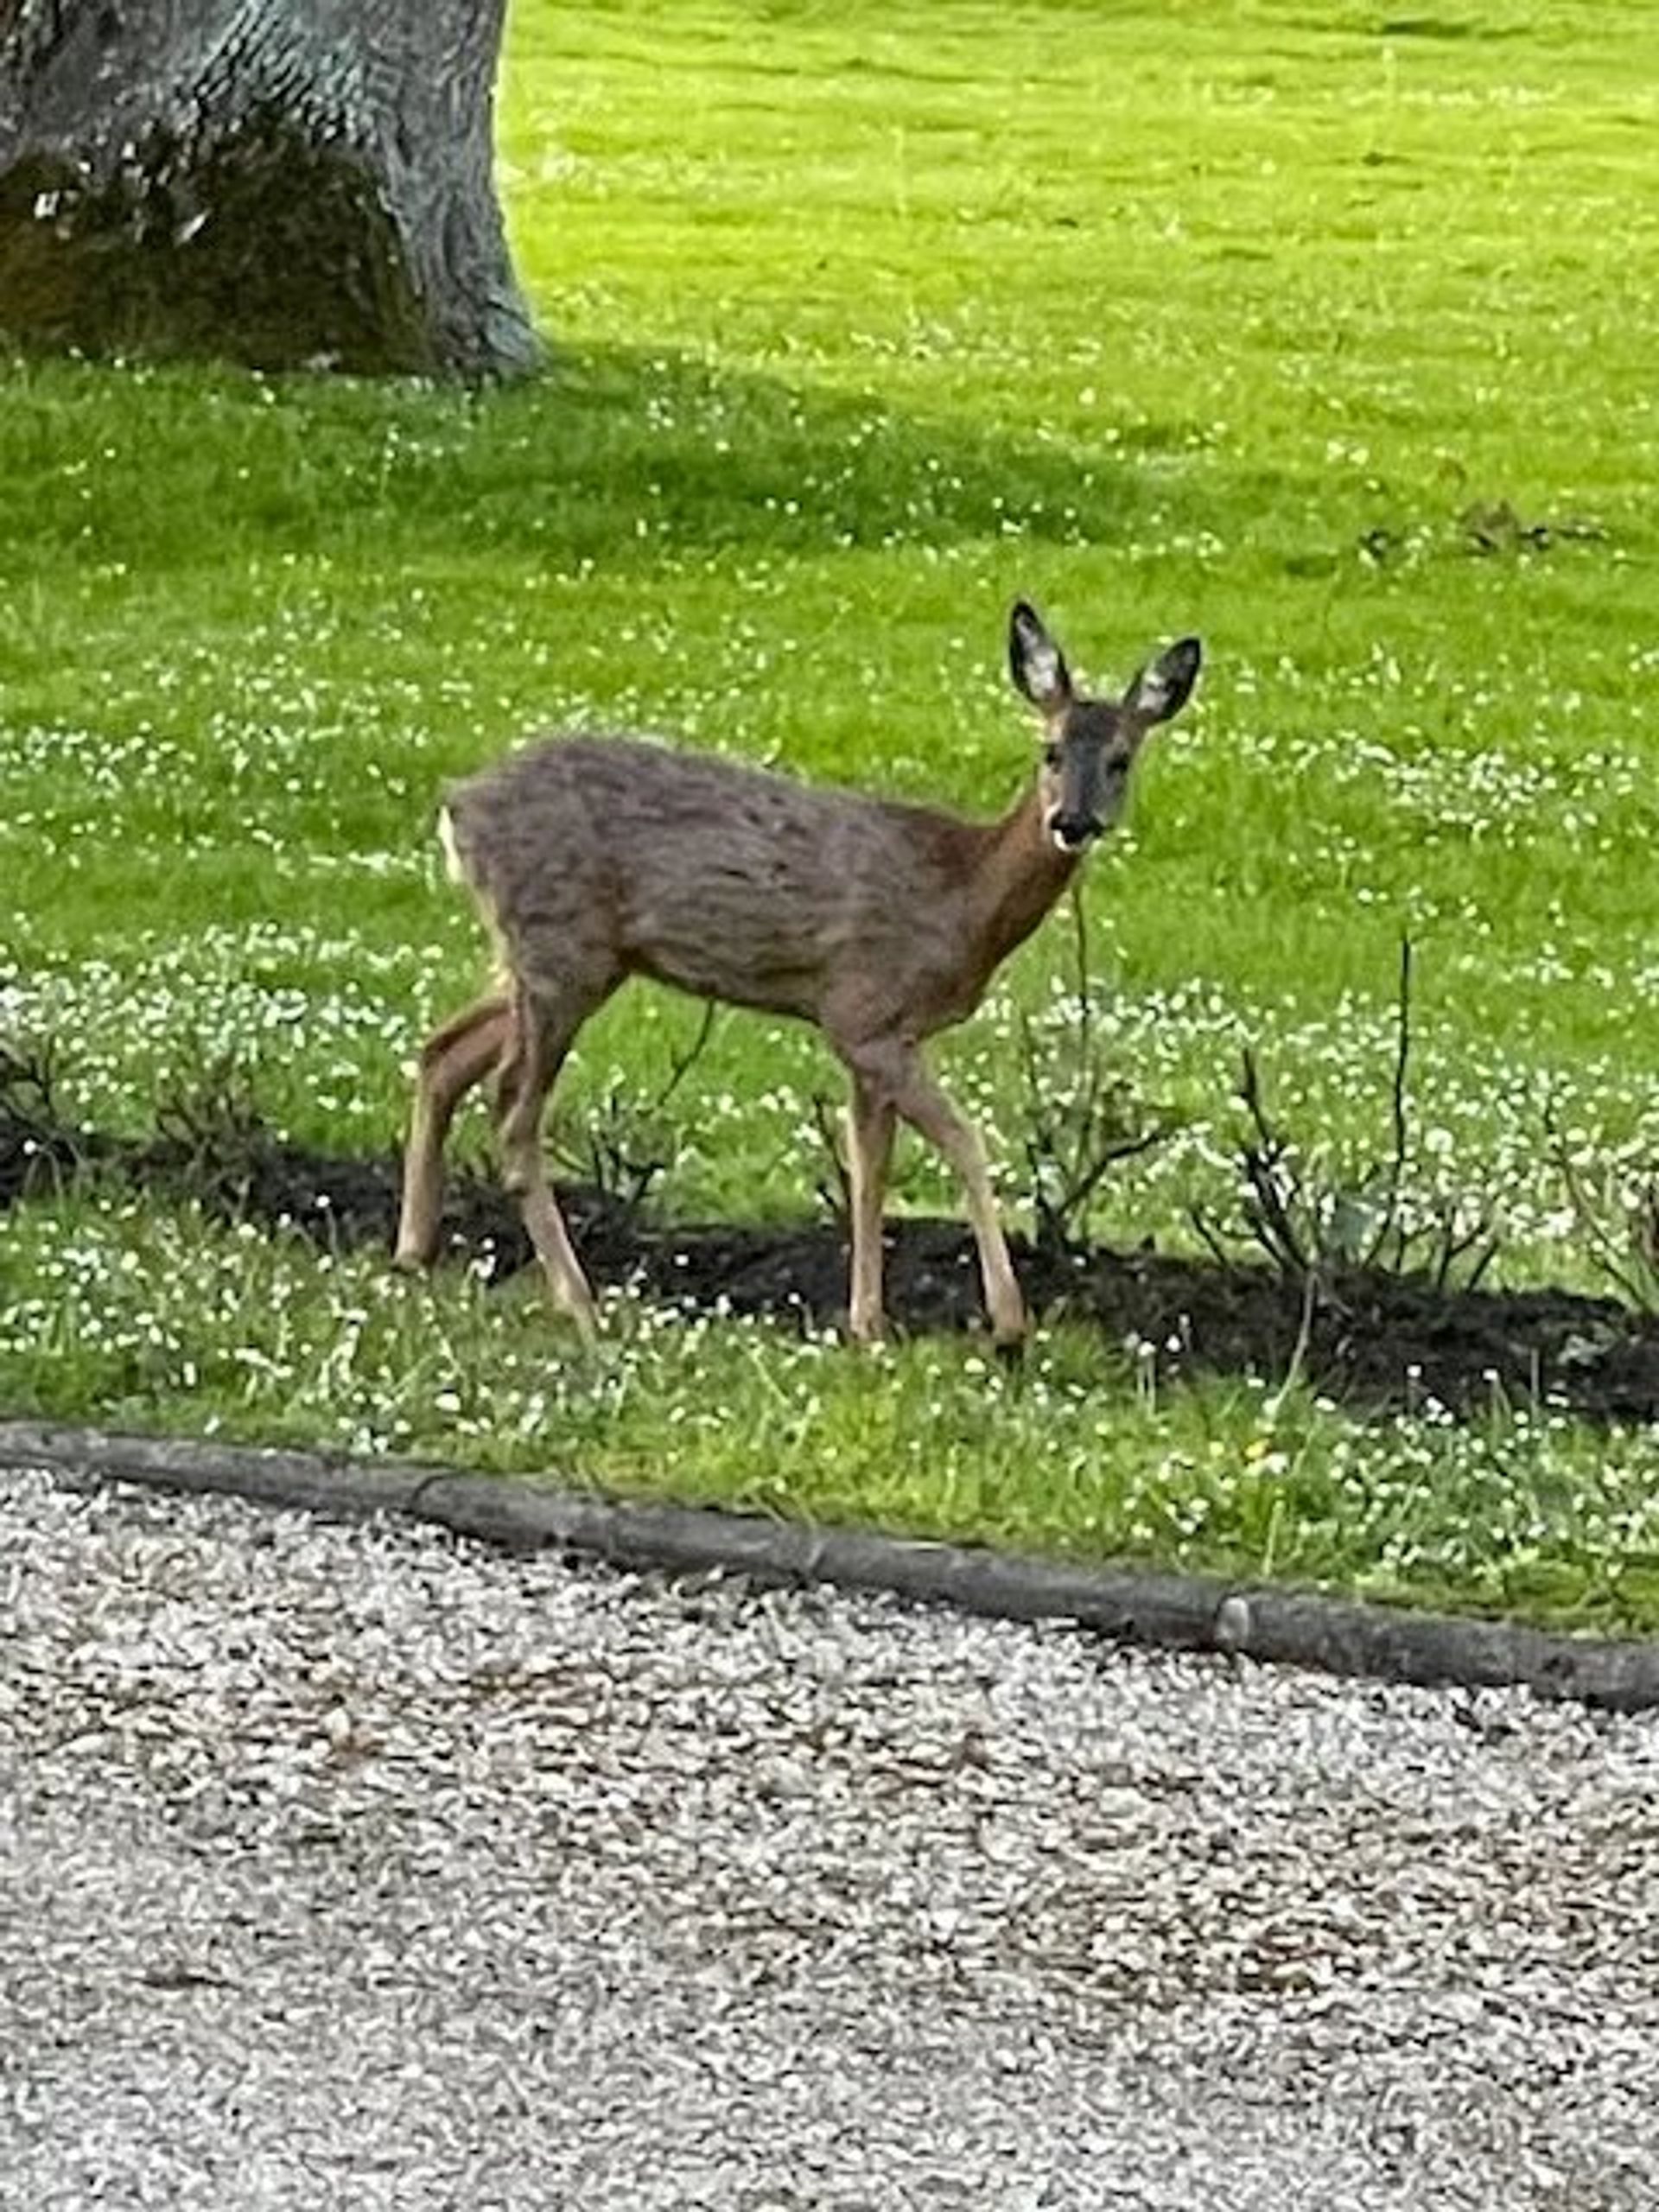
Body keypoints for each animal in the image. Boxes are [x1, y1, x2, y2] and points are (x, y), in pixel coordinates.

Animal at [402, 597, 1211, 1336]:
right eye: (1049, 752)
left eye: (1120, 760)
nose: (1071, 821)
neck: (961, 895)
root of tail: (458, 804)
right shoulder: (864, 1013)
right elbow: (963, 1143)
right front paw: (1008, 1322)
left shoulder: (881, 1035)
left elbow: (870, 1170)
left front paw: (867, 1324)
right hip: (561, 951)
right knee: (512, 1113)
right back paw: (576, 1299)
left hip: (552, 959)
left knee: (443, 1051)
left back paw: (413, 1252)